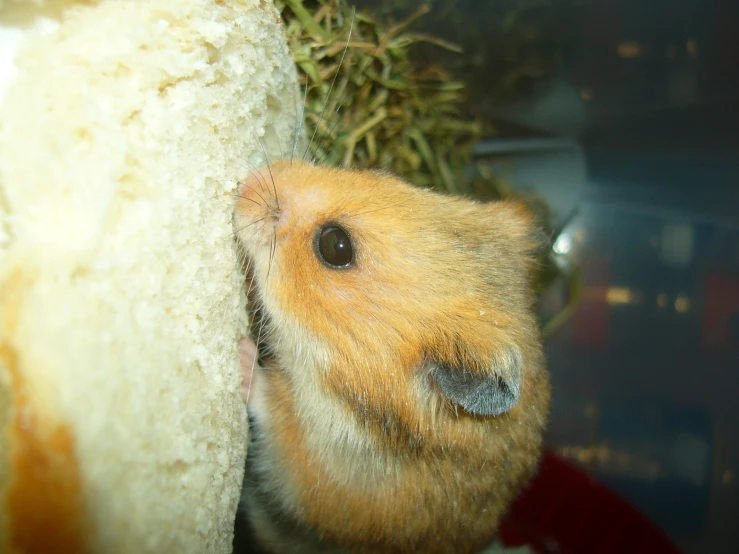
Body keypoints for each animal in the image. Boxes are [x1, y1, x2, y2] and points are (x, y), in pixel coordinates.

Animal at [234, 156, 552, 552]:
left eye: (335, 245)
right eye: (382, 176)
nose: (252, 179)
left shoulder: (316, 480)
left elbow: (275, 411)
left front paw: (242, 356)